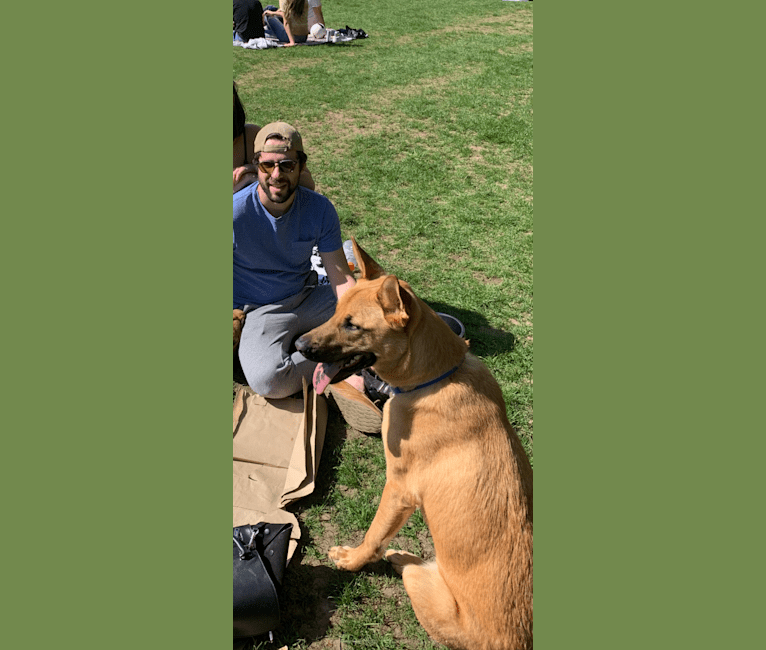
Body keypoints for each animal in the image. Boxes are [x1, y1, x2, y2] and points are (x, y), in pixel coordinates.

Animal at [296, 239, 536, 648]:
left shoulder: (399, 488)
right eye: (336, 312)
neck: (436, 377)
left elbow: (373, 533)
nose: (297, 345)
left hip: (421, 582)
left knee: (408, 563)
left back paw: (398, 556)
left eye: (353, 325)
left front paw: (352, 559)